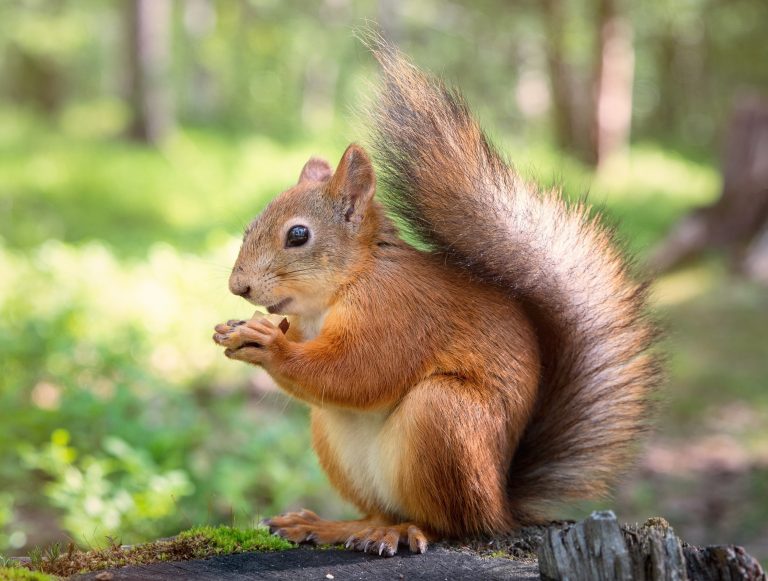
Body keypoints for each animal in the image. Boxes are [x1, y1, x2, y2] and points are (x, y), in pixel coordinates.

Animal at [213, 42, 661, 557]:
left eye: (298, 235)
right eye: (252, 224)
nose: (239, 286)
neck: (348, 283)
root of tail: (500, 506)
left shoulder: (399, 311)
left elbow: (359, 370)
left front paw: (267, 345)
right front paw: (239, 330)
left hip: (445, 418)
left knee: (447, 524)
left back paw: (402, 531)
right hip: (333, 435)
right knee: (379, 509)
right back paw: (333, 526)